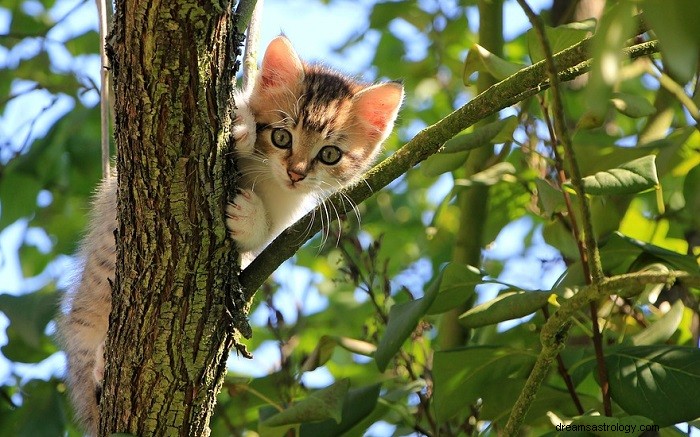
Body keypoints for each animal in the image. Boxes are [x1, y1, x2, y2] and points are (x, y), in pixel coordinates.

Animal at [60, 35, 404, 434]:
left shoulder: (286, 216)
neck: (267, 179)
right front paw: (241, 126)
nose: (296, 173)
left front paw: (249, 218)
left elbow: (263, 237)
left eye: (330, 154)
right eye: (282, 136)